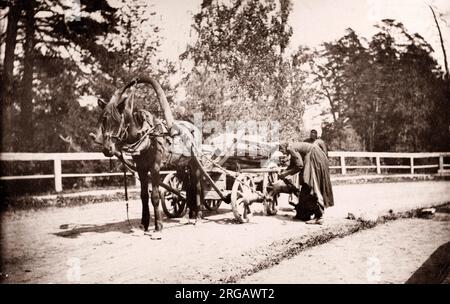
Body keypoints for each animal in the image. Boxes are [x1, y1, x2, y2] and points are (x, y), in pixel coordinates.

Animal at [89, 76, 205, 238]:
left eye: (117, 121)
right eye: (103, 121)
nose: (107, 149)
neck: (147, 137)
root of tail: (193, 128)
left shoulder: (155, 168)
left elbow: (154, 196)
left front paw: (158, 226)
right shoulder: (141, 170)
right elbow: (144, 196)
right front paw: (144, 224)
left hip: (195, 163)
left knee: (198, 186)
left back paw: (198, 216)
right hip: (181, 165)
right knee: (188, 186)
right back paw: (191, 214)